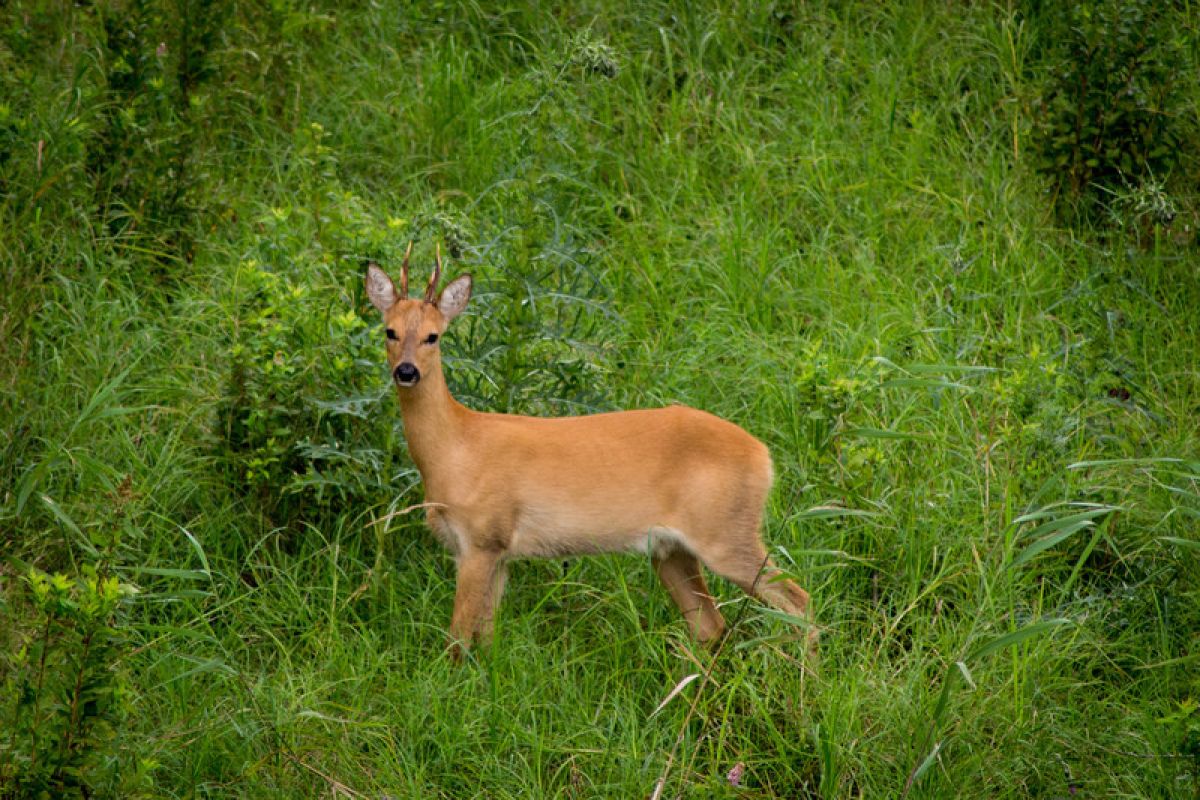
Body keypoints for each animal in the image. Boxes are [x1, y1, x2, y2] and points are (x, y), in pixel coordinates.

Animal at [364, 247, 816, 662]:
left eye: (433, 336)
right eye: (389, 331)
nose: (406, 371)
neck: (454, 449)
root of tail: (763, 455)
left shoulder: (482, 537)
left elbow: (457, 640)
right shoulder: (497, 553)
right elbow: (488, 640)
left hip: (726, 533)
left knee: (799, 602)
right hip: (671, 549)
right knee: (710, 624)